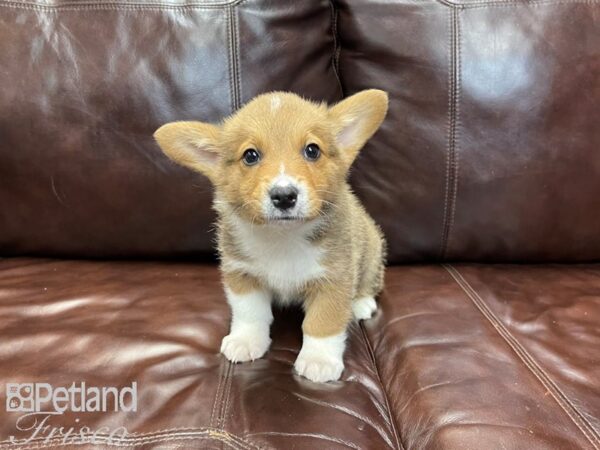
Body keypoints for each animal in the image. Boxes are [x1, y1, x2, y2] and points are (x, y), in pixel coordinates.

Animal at [155, 89, 386, 382]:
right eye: (250, 155)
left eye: (312, 150)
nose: (284, 196)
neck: (282, 237)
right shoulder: (241, 274)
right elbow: (250, 313)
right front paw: (246, 341)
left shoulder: (334, 279)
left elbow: (323, 323)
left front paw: (319, 360)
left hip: (372, 247)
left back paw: (361, 304)